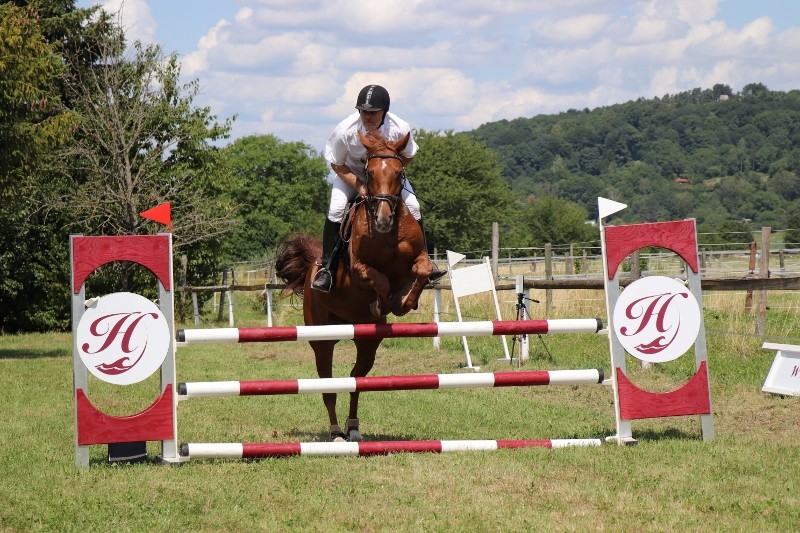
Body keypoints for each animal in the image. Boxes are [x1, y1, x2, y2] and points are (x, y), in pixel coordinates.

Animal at [276, 129, 438, 440]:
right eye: (369, 172)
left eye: (399, 172)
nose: (384, 220)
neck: (388, 234)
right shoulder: (359, 269)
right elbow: (380, 280)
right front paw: (383, 303)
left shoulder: (417, 259)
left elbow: (422, 271)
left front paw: (404, 302)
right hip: (321, 338)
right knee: (327, 382)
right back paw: (337, 432)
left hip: (367, 342)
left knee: (355, 379)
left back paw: (352, 428)